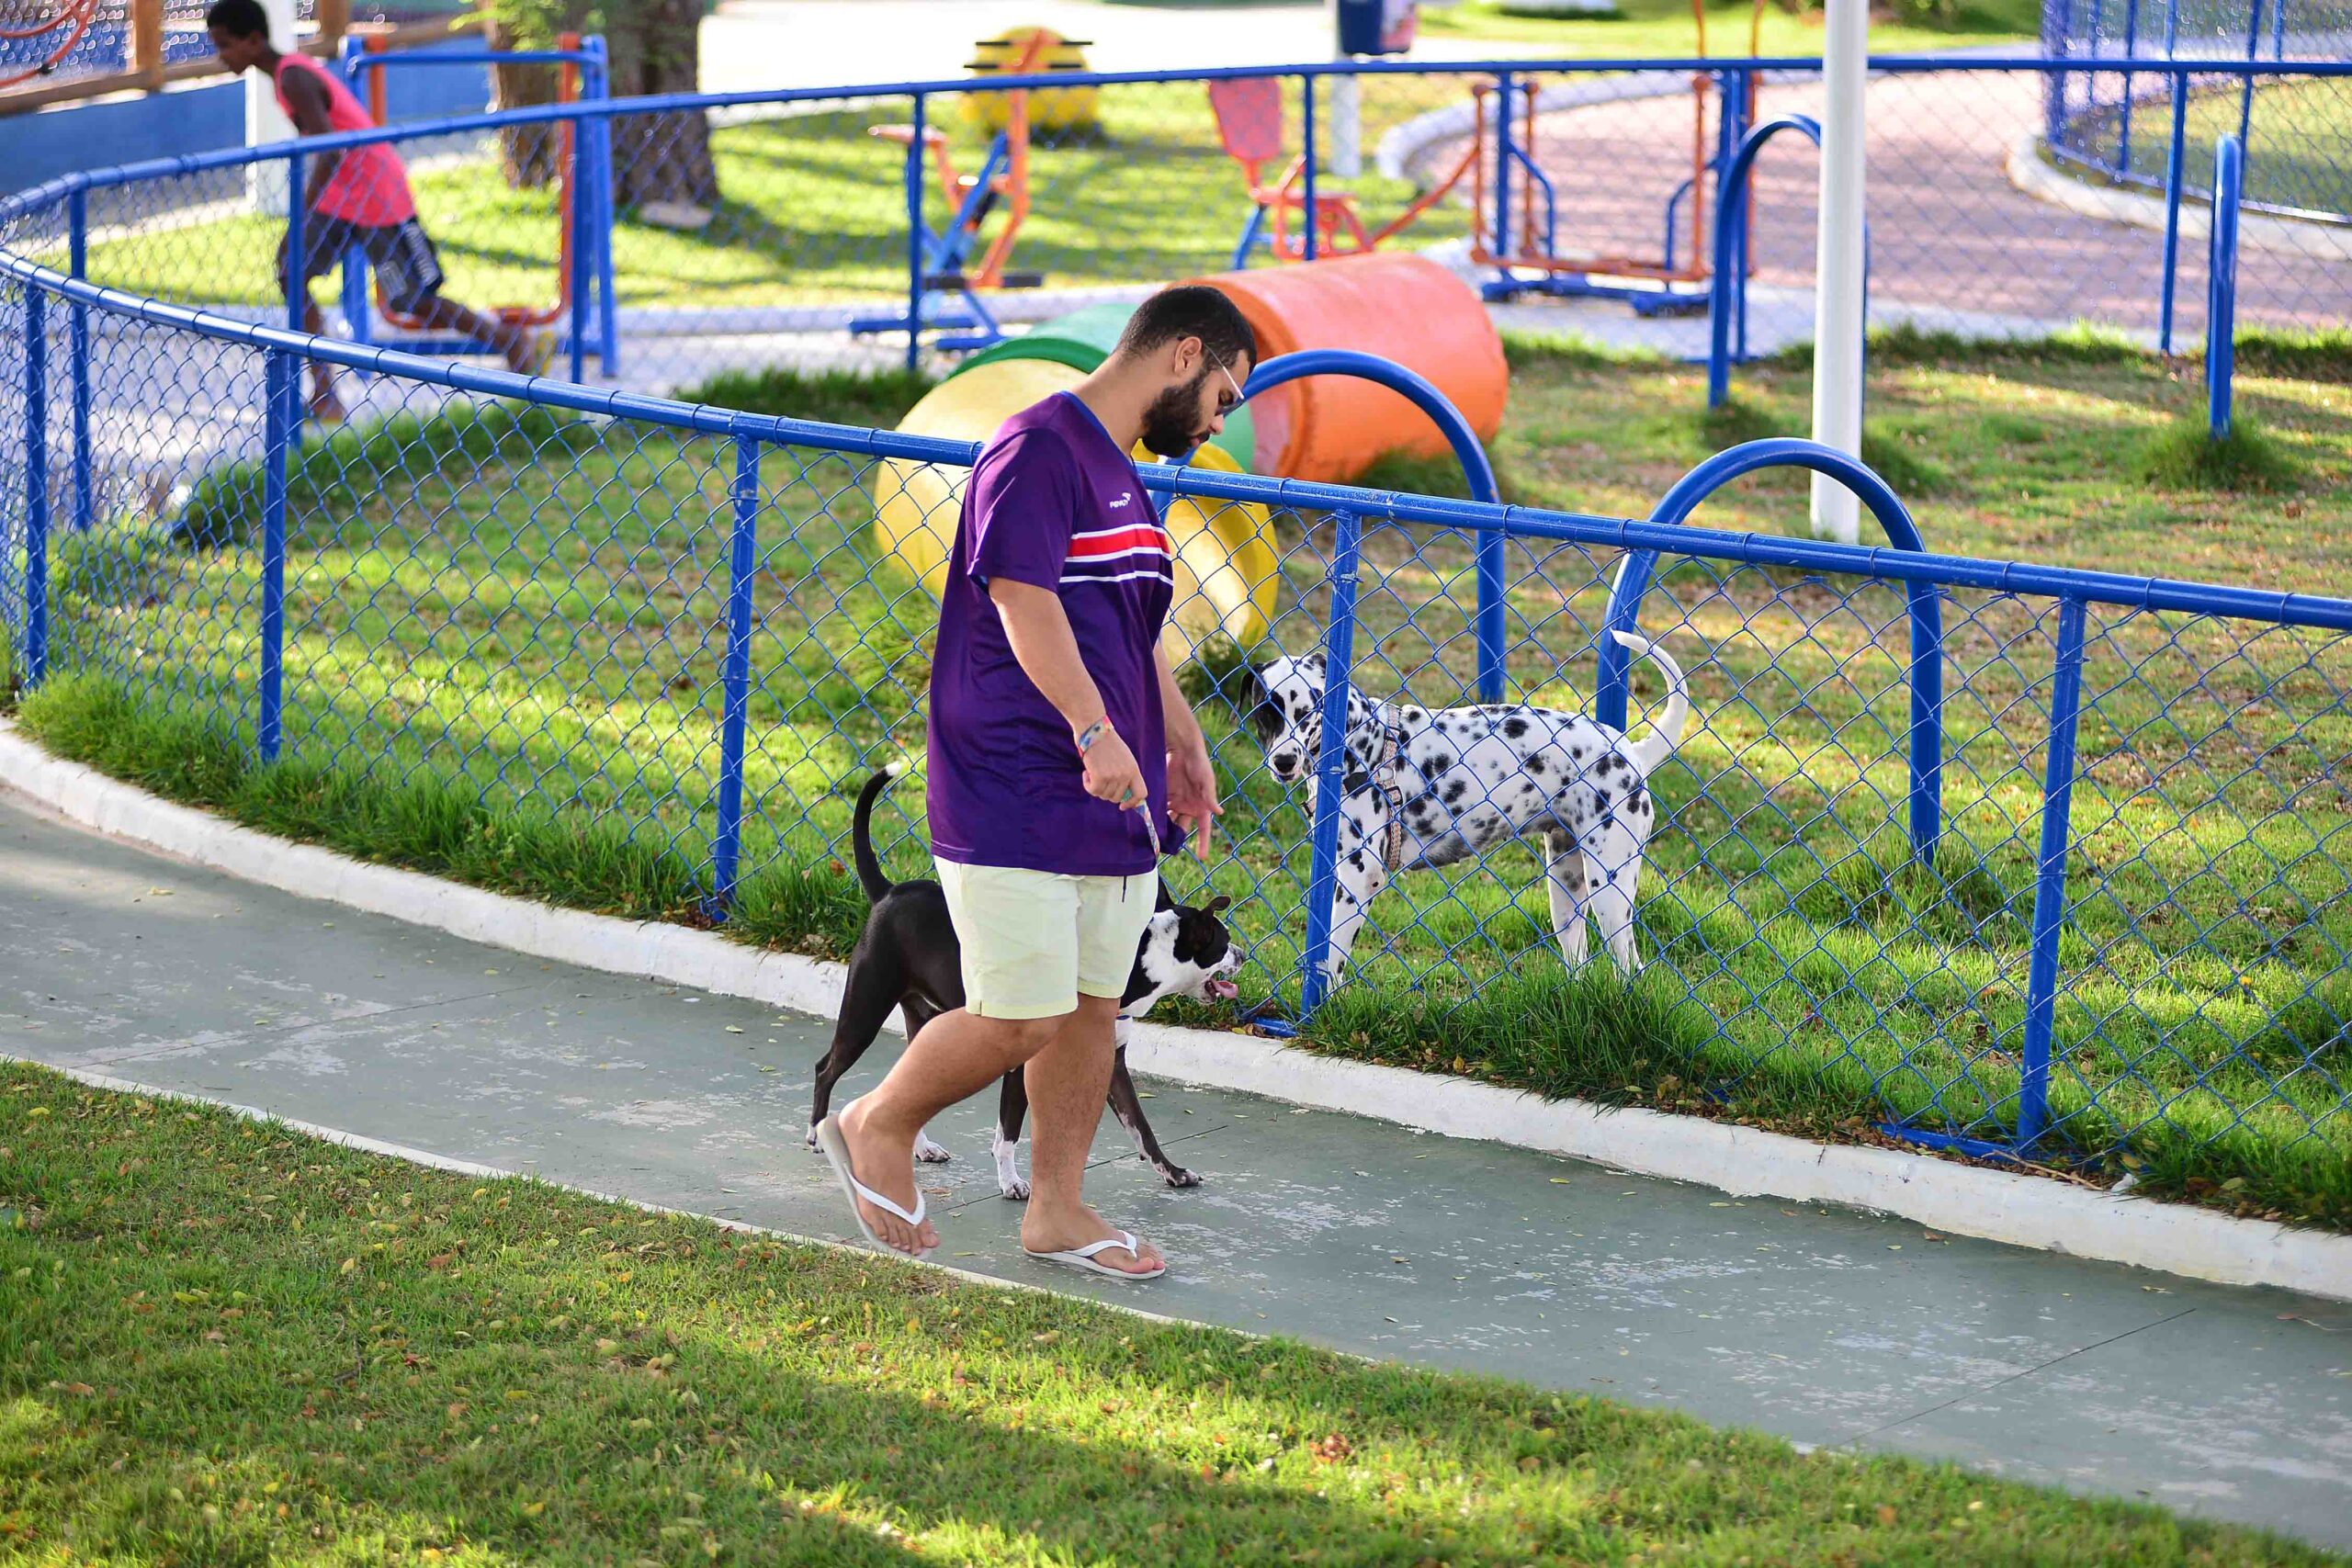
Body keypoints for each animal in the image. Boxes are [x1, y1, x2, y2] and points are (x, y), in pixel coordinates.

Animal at [808, 766, 1241, 1194]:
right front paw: (1011, 1181)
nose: (1242, 956)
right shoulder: (1021, 1063)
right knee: (826, 1068)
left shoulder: (1111, 1065)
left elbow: (1141, 1129)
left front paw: (1173, 1172)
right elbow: (1011, 1130)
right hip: (865, 1009)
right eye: (1224, 942)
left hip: (922, 1022)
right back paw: (816, 1133)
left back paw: (919, 1148)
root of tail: (889, 892)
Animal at [1241, 629, 1683, 982]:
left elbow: (1330, 961)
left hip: (1610, 891)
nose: (1283, 761)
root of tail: (1631, 751)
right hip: (1566, 887)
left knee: (1630, 968)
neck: (1361, 742)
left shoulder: (1358, 879)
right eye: (1266, 712)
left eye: (1309, 710)